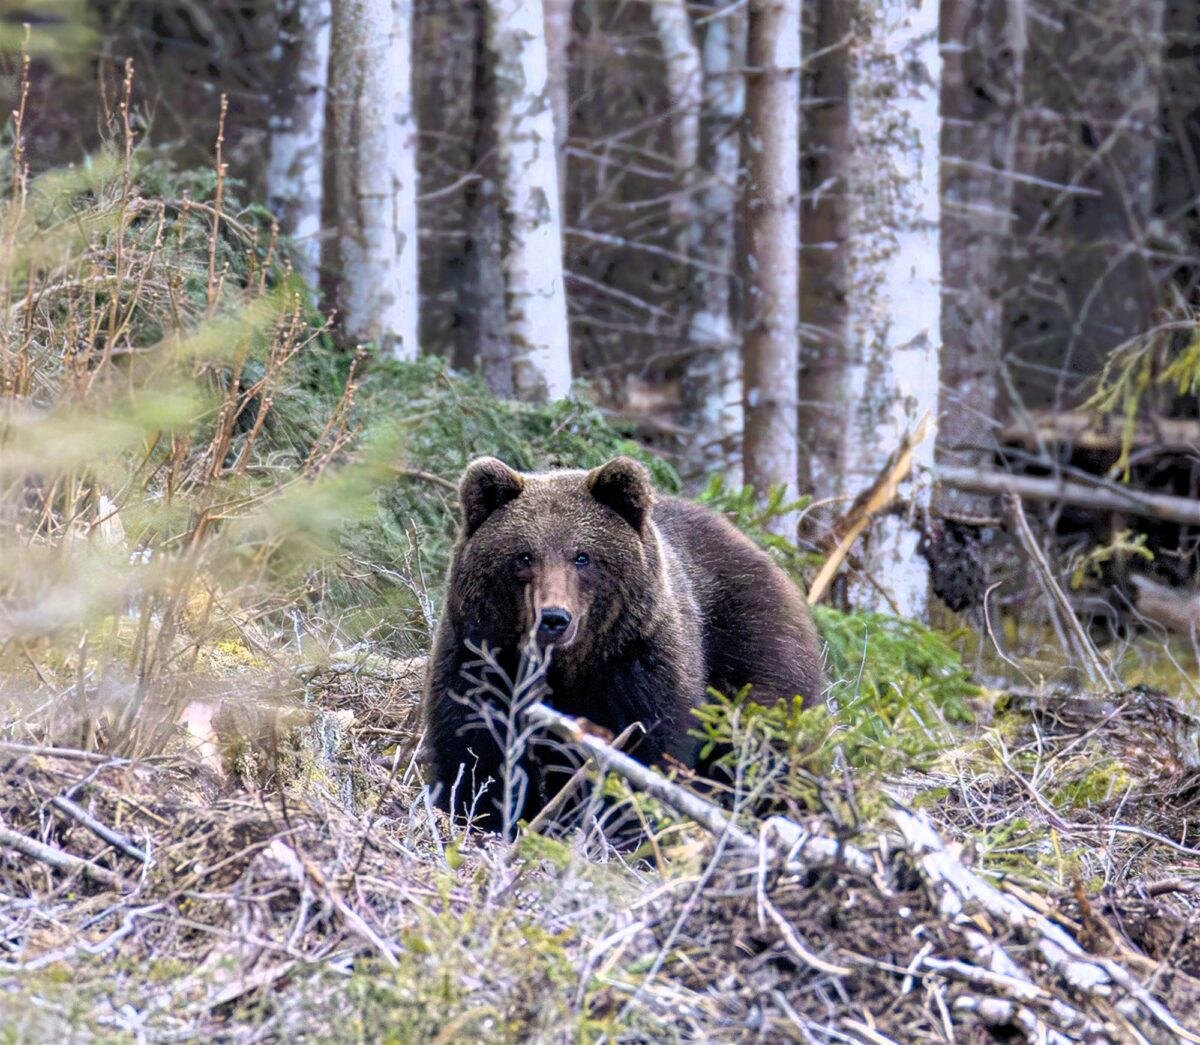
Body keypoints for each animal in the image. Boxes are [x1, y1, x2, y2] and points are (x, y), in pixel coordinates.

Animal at [422, 455, 824, 833]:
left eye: (582, 556)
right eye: (523, 555)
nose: (553, 618)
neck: (567, 668)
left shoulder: (634, 669)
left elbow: (645, 755)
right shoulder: (480, 660)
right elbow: (472, 751)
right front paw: (477, 815)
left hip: (750, 648)